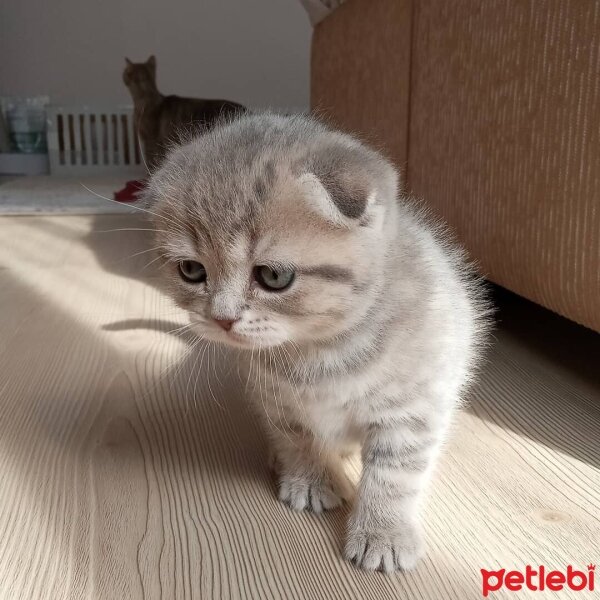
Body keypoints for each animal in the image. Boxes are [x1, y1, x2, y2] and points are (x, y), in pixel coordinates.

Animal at [143, 111, 490, 572]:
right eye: (191, 270)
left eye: (273, 276)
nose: (222, 318)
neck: (320, 352)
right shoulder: (275, 400)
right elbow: (297, 438)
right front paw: (309, 479)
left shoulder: (413, 407)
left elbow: (395, 472)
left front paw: (384, 531)